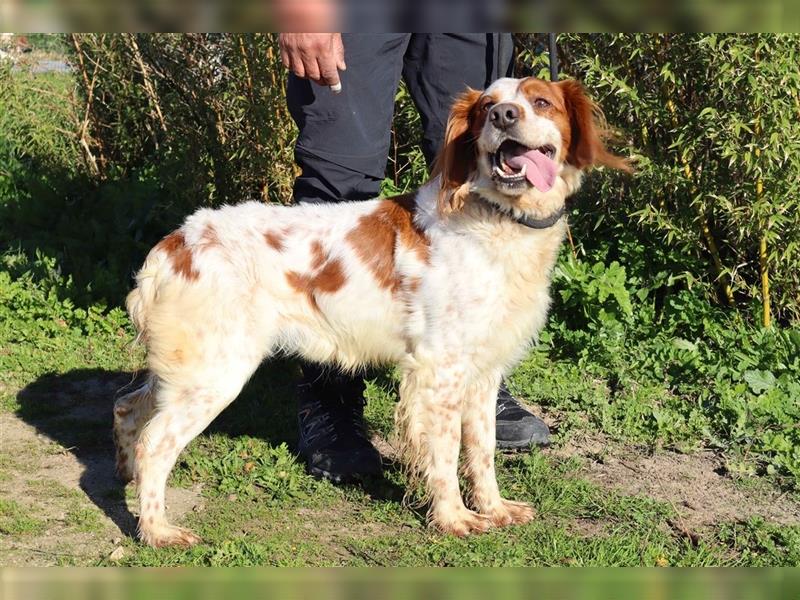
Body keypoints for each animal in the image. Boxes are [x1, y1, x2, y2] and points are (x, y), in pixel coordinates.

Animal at [114, 76, 632, 548]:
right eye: (488, 109)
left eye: (540, 102)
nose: (505, 116)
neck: (495, 219)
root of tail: (174, 243)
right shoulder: (438, 371)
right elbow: (445, 454)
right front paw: (455, 518)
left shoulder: (484, 372)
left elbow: (481, 450)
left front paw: (495, 508)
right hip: (216, 373)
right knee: (155, 443)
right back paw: (157, 530)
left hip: (184, 372)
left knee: (127, 409)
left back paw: (126, 480)